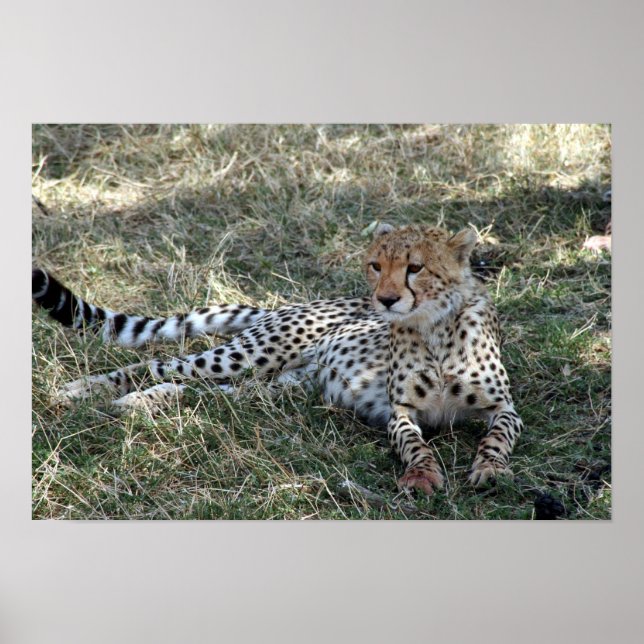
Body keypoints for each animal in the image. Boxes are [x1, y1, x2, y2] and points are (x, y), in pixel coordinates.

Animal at [32, 223, 523, 495]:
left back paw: (140, 403)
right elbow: (413, 444)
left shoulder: (504, 407)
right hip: (252, 354)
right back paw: (86, 389)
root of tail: (285, 306)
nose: (384, 300)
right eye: (375, 265)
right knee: (160, 365)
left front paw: (491, 469)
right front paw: (422, 475)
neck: (434, 327)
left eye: (415, 267)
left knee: (204, 391)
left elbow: (498, 436)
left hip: (277, 386)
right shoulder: (400, 410)